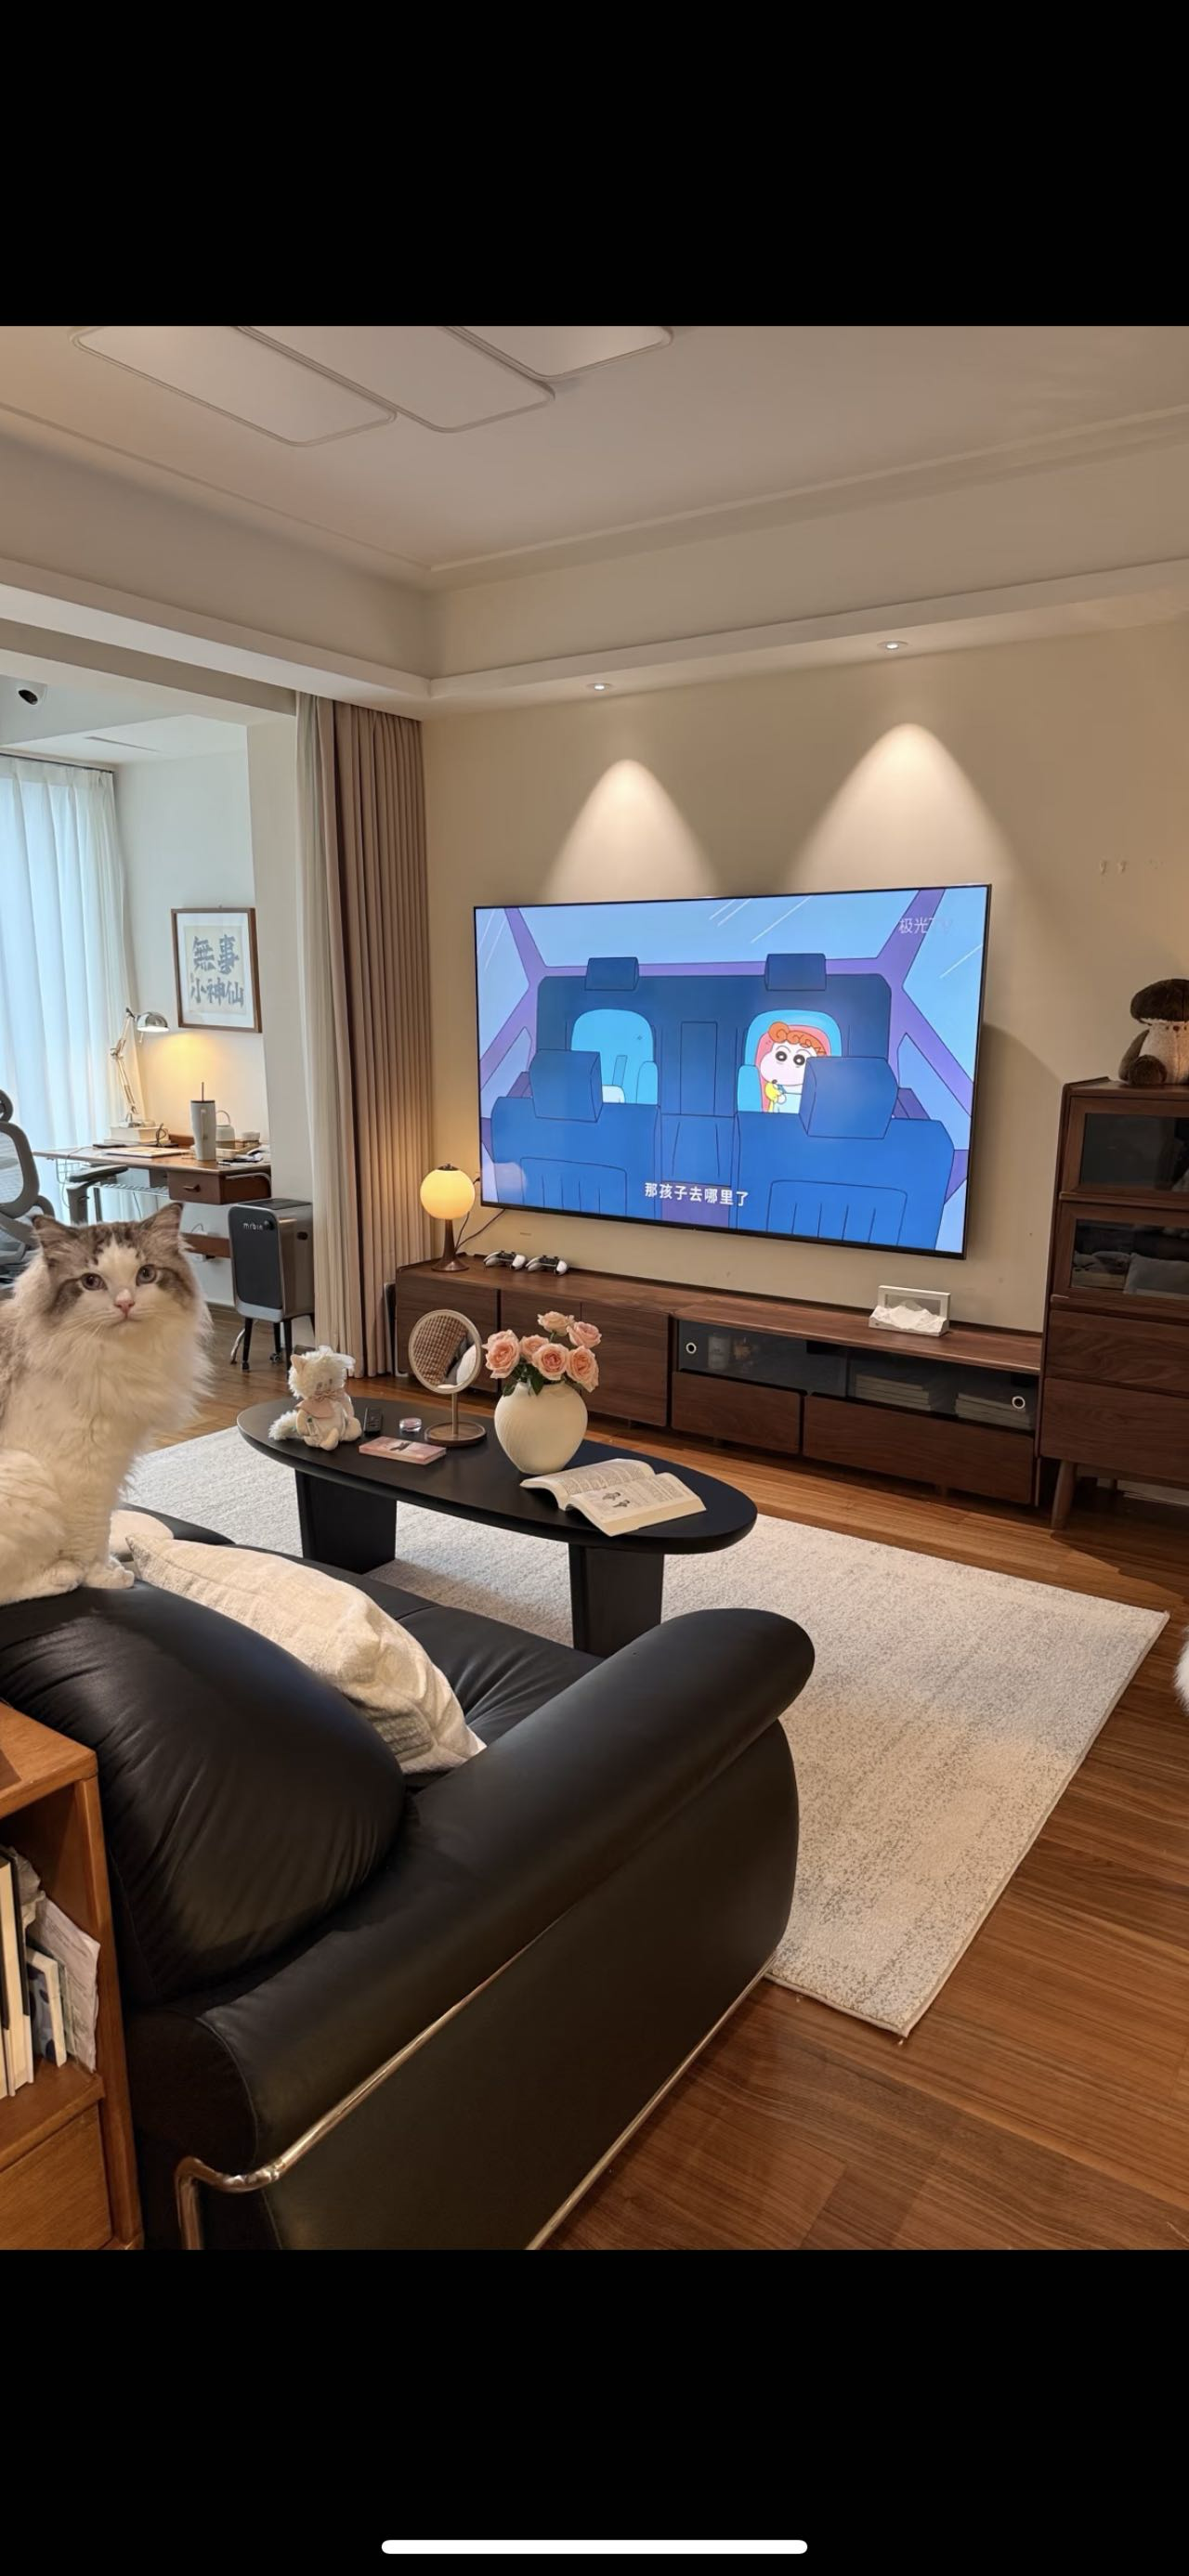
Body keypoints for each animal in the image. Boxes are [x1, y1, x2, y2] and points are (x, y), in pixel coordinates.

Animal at [0, 1201, 210, 1605]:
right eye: (91, 1282)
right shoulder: (83, 1470)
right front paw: (104, 1576)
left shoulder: (109, 1463)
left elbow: (103, 1526)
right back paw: (60, 1576)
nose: (125, 1303)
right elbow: (90, 1536)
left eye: (146, 1274)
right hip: (24, 1474)